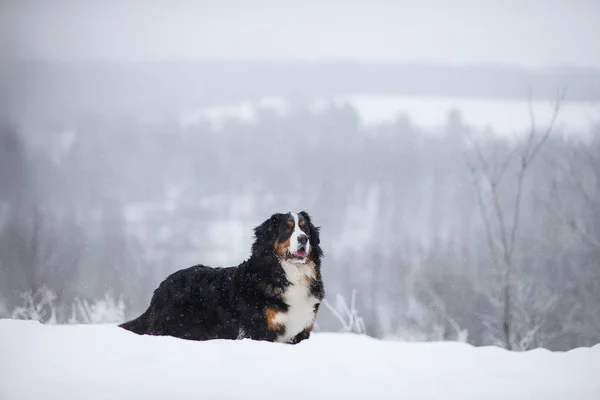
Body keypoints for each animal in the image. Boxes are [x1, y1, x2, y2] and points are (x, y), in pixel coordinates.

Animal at [118, 211, 324, 346]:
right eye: (287, 230)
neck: (286, 274)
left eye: (305, 229)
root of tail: (161, 287)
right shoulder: (257, 330)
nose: (304, 239)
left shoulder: (301, 331)